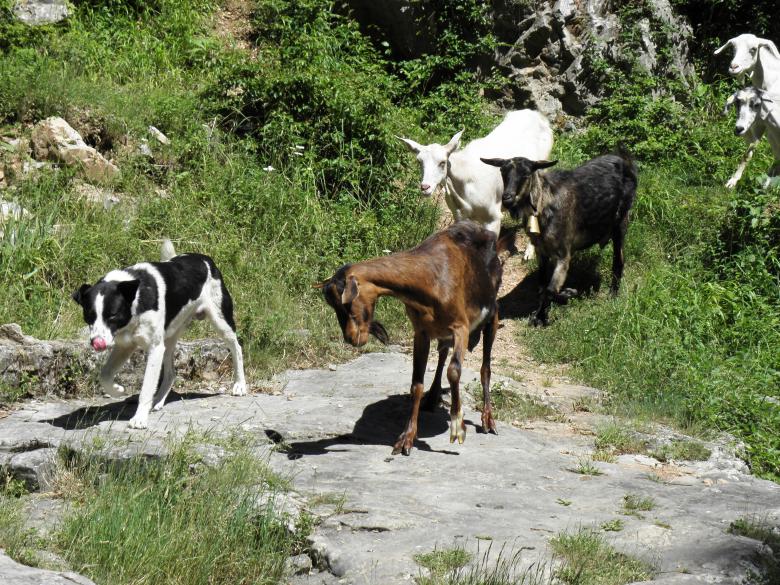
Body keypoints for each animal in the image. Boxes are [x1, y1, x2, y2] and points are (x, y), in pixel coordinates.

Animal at [316, 221, 507, 456]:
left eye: (346, 304)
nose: (352, 338)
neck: (430, 278)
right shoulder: (421, 332)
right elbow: (416, 384)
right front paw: (406, 438)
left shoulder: (461, 327)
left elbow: (454, 371)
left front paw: (457, 427)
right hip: (442, 331)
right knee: (443, 352)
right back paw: (432, 398)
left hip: (492, 315)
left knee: (485, 366)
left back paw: (488, 420)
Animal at [398, 110, 553, 259]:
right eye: (419, 161)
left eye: (442, 162)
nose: (425, 187)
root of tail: (539, 116)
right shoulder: (459, 216)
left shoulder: (493, 218)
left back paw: (528, 253)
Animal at [482, 151, 637, 326]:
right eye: (502, 172)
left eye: (526, 174)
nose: (507, 198)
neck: (545, 205)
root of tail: (623, 160)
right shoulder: (542, 252)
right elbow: (542, 286)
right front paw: (540, 314)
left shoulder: (564, 254)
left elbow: (550, 290)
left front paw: (568, 294)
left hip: (621, 223)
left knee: (619, 260)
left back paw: (613, 294)